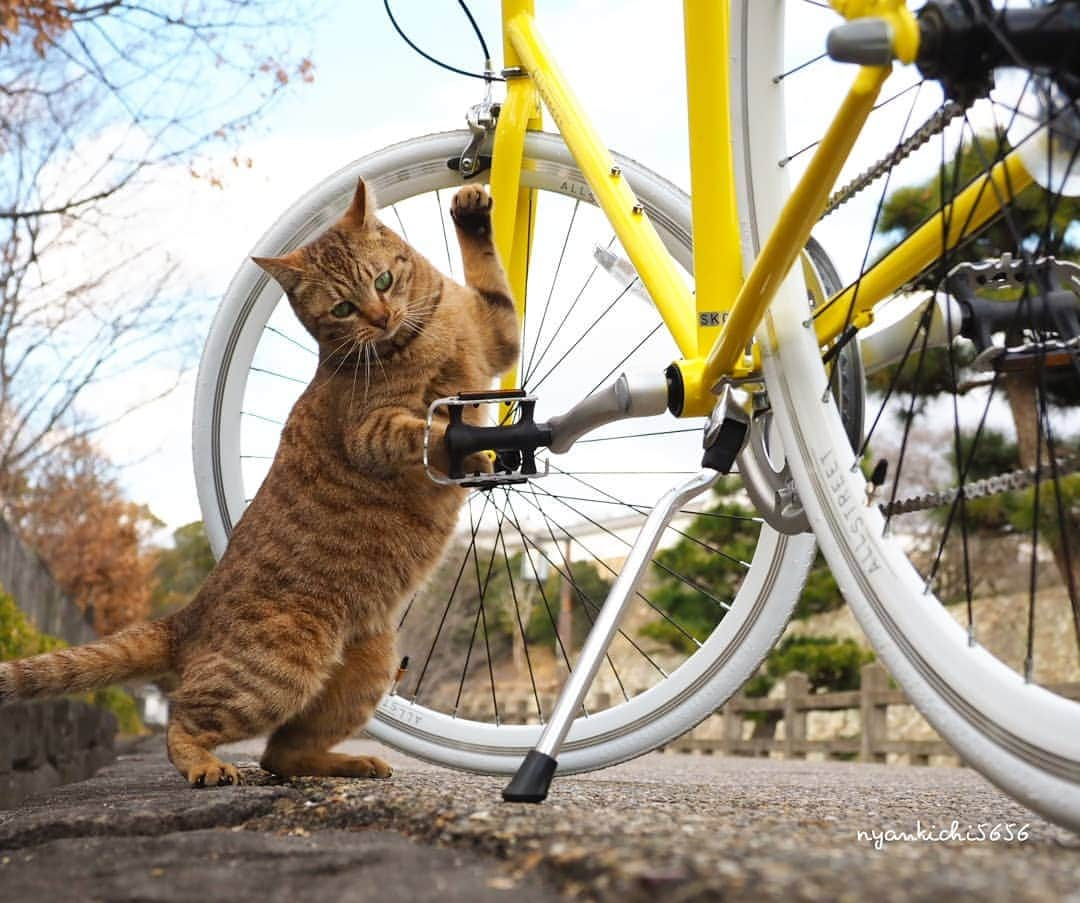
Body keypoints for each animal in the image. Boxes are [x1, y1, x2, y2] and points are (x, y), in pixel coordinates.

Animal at [0, 180, 522, 786]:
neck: (421, 333)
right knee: (185, 720)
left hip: (367, 668)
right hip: (279, 666)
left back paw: (353, 761)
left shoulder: (496, 336)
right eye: (342, 308)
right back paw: (208, 766)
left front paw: (471, 210)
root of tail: (189, 615)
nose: (381, 317)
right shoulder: (369, 429)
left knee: (282, 753)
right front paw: (465, 441)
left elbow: (493, 282)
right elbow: (429, 427)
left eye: (382, 281)